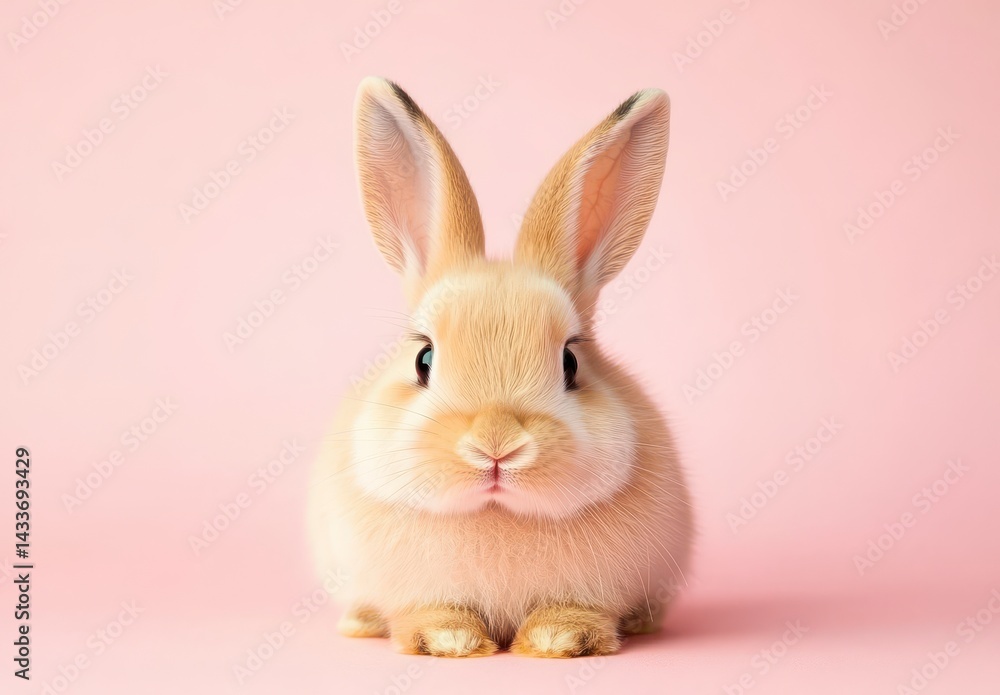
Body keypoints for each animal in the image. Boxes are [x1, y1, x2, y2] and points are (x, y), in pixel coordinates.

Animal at [308, 76, 692, 658]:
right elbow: (432, 611)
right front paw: (449, 641)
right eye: (423, 359)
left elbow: (573, 610)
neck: (496, 513)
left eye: (570, 361)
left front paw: (561, 639)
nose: (496, 444)